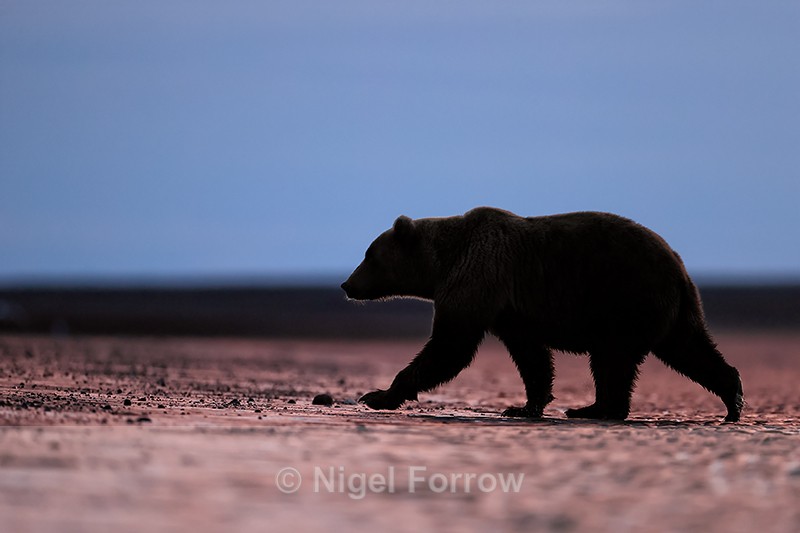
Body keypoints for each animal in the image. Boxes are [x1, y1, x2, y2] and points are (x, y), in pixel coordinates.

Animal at [341, 207, 744, 422]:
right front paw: (524, 406)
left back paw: (595, 408)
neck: (443, 263)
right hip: (673, 311)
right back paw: (732, 399)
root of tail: (679, 266)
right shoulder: (510, 311)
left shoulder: (479, 277)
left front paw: (377, 395)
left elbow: (449, 345)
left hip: (624, 298)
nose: (347, 284)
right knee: (689, 349)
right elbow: (531, 356)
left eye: (369, 255)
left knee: (612, 359)